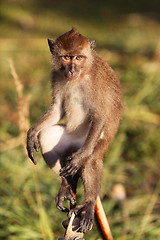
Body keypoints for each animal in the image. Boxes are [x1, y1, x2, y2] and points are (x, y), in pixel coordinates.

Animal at [27, 27, 122, 232]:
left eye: (79, 58)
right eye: (66, 57)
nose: (71, 69)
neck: (82, 74)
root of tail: (74, 145)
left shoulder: (96, 81)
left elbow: (100, 115)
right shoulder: (56, 75)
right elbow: (57, 110)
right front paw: (31, 133)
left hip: (92, 143)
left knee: (91, 160)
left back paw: (88, 202)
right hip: (68, 140)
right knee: (48, 136)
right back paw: (67, 185)